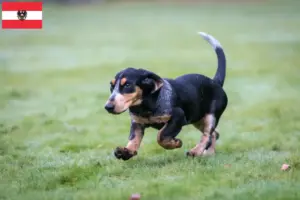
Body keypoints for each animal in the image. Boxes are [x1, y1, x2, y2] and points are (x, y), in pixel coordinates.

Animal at [105, 32, 227, 161]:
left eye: (127, 85)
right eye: (111, 86)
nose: (108, 107)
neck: (145, 106)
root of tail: (216, 82)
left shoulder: (178, 116)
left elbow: (161, 136)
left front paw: (175, 143)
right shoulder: (137, 123)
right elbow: (133, 139)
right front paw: (126, 152)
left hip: (211, 116)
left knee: (207, 134)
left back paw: (196, 151)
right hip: (197, 117)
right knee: (214, 134)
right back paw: (209, 153)